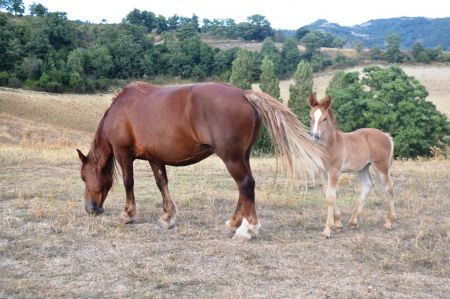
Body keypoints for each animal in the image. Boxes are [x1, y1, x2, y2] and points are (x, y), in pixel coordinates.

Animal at [77, 82, 324, 241]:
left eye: (83, 177)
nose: (90, 209)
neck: (119, 111)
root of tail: (244, 94)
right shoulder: (155, 158)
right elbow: (161, 183)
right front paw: (167, 217)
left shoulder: (123, 153)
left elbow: (129, 182)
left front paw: (128, 214)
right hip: (242, 156)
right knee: (244, 188)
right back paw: (233, 223)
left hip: (231, 158)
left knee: (246, 184)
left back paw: (248, 230)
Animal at [310, 94, 394, 239]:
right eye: (310, 117)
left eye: (324, 119)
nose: (315, 136)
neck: (331, 144)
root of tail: (386, 136)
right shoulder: (322, 171)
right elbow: (328, 194)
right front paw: (338, 224)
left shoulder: (334, 171)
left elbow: (331, 197)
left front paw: (327, 230)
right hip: (363, 168)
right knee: (368, 184)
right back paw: (354, 220)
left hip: (381, 166)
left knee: (389, 187)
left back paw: (389, 222)